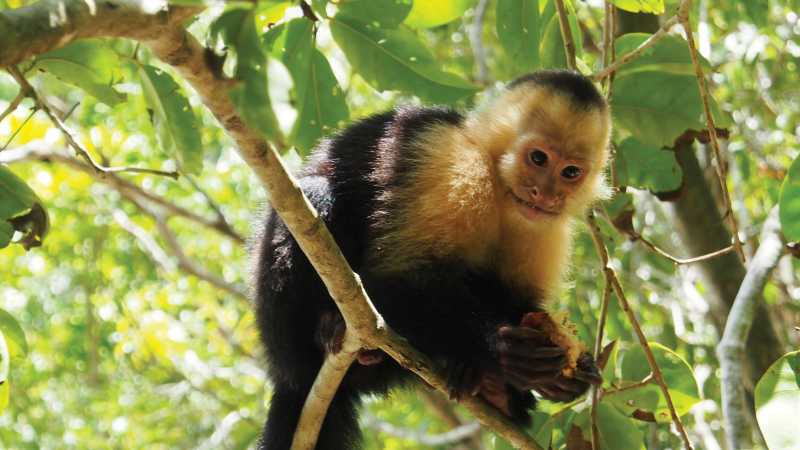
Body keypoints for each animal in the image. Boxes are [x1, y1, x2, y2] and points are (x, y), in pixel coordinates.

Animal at [253, 69, 611, 450]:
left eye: (570, 172)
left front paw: (568, 375)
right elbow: (396, 277)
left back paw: (488, 386)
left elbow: (519, 300)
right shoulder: (451, 163)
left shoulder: (548, 229)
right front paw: (501, 347)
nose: (545, 194)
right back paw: (326, 332)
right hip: (281, 337)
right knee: (316, 196)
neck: (499, 186)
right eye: (538, 158)